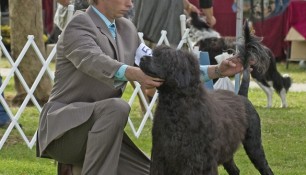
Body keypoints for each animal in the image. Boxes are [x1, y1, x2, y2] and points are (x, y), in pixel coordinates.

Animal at [140, 45, 274, 175]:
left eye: (164, 57)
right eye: (154, 53)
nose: (141, 59)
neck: (176, 107)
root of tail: (242, 96)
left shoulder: (200, 160)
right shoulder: (161, 156)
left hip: (253, 143)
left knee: (265, 168)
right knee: (235, 170)